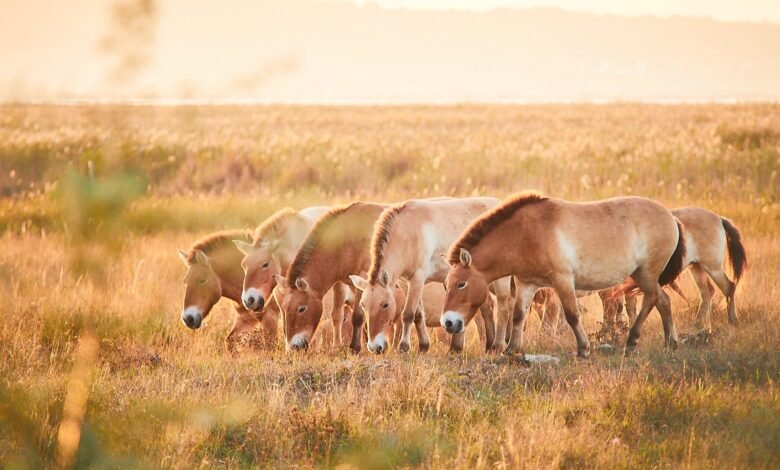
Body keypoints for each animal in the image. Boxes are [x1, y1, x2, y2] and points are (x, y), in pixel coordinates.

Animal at [232, 207, 353, 347]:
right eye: (243, 265)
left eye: (265, 264)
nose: (248, 300)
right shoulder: (283, 300)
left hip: (339, 288)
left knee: (337, 315)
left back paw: (337, 346)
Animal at [273, 202, 388, 353]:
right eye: (284, 309)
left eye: (301, 308)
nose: (293, 348)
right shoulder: (342, 283)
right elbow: (338, 314)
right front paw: (340, 346)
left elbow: (358, 315)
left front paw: (356, 348)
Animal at [348, 197, 513, 354]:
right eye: (363, 305)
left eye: (385, 305)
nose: (374, 347)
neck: (407, 232)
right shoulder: (405, 282)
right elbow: (418, 314)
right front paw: (423, 346)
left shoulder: (417, 278)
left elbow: (408, 314)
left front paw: (404, 347)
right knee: (487, 307)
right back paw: (485, 346)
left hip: (500, 279)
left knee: (503, 307)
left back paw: (498, 346)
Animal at [441, 192, 686, 357]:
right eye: (447, 284)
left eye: (461, 284)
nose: (449, 323)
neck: (525, 233)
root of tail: (670, 217)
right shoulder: (526, 283)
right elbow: (519, 315)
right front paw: (511, 350)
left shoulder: (562, 280)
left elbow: (572, 315)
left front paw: (583, 349)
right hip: (641, 275)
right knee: (663, 300)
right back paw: (670, 342)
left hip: (646, 273)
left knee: (653, 299)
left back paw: (633, 341)